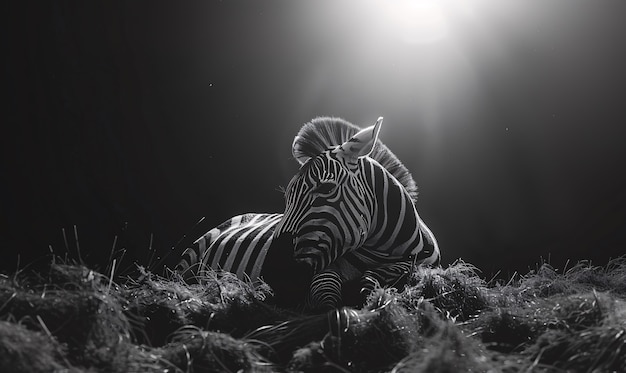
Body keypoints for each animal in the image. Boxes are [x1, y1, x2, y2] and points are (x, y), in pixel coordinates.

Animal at [176, 117, 438, 310]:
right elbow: (327, 299)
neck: (384, 249)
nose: (272, 275)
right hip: (190, 257)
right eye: (287, 198)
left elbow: (382, 277)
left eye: (326, 188)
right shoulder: (323, 272)